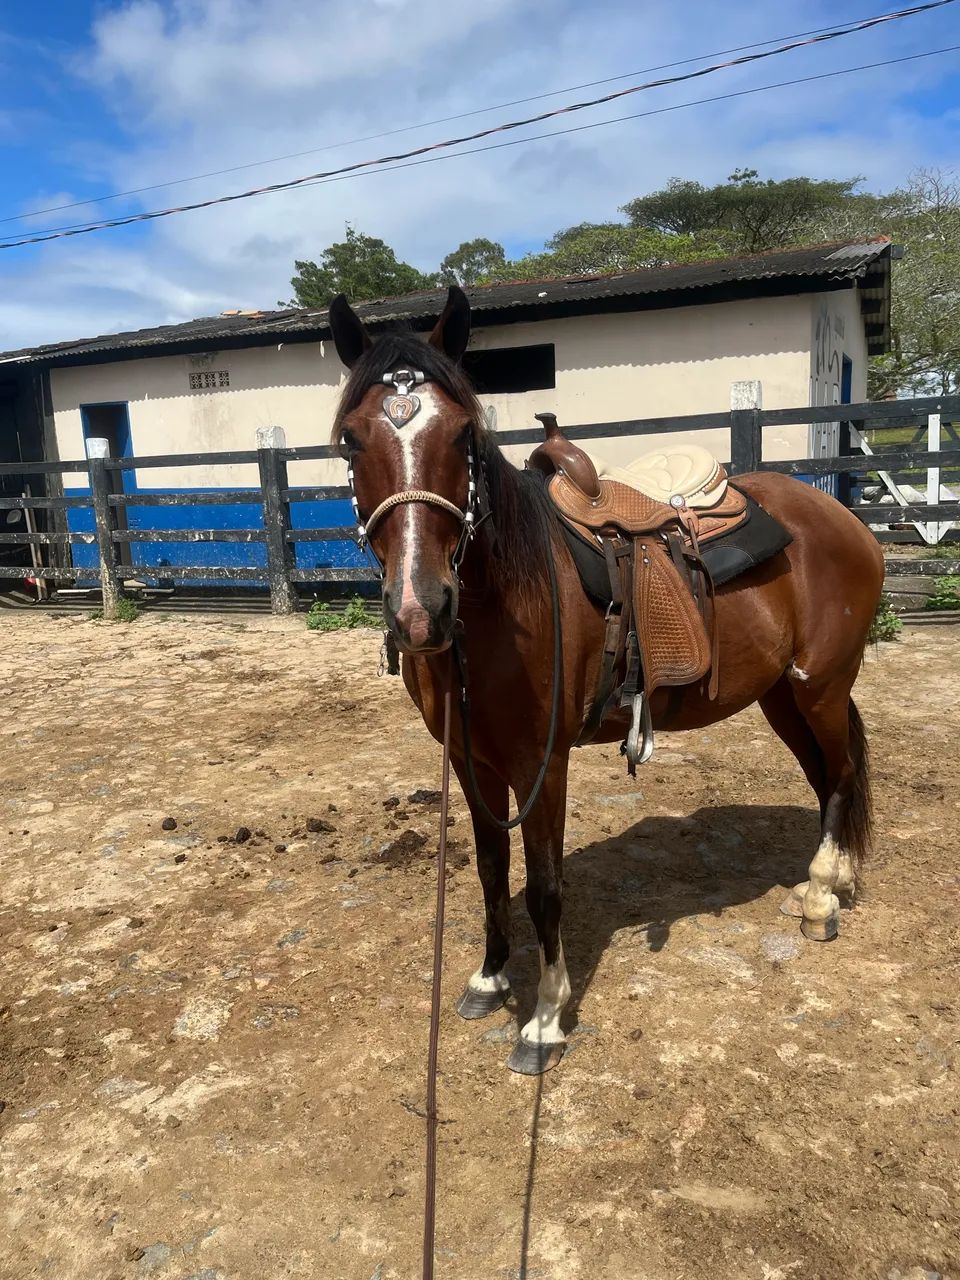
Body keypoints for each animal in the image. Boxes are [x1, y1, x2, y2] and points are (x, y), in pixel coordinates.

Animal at [328, 285, 885, 1076]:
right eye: (351, 438)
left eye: (464, 432)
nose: (419, 609)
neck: (505, 601)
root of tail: (842, 516)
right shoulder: (469, 760)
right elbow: (492, 868)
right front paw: (490, 978)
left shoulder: (541, 763)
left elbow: (544, 885)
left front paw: (544, 1020)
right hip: (783, 695)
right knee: (823, 776)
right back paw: (822, 882)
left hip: (821, 687)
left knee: (839, 774)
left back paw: (822, 904)